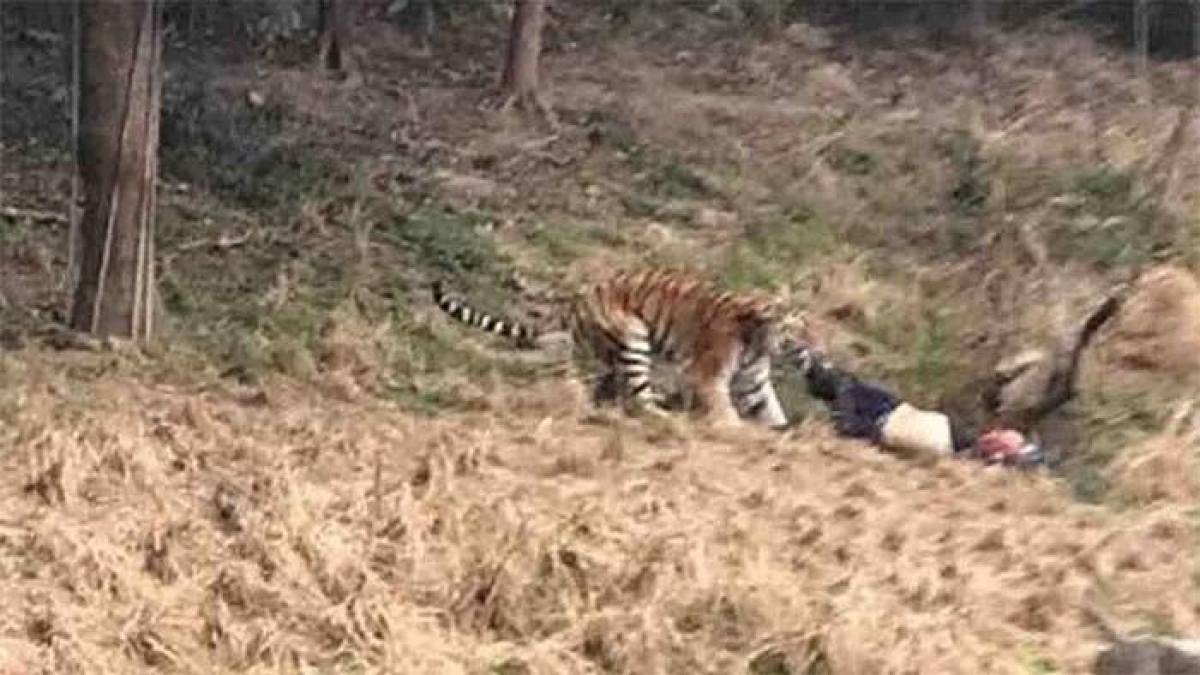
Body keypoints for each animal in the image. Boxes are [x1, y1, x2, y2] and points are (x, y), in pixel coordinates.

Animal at [430, 268, 793, 429]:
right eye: (790, 326)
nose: (799, 345)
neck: (758, 340)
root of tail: (577, 298)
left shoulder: (753, 378)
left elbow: (771, 407)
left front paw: (782, 430)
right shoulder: (707, 373)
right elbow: (722, 404)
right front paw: (734, 428)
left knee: (602, 385)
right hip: (634, 335)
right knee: (638, 397)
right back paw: (664, 416)